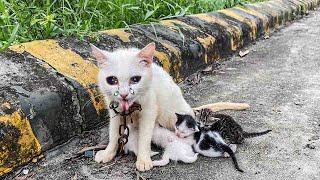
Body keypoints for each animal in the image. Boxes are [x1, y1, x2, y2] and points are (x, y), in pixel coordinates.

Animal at [91, 42, 249, 172]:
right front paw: (108, 153)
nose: (123, 94)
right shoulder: (114, 111)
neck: (131, 107)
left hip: (170, 115)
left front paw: (143, 159)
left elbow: (144, 137)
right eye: (112, 80)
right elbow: (113, 134)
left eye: (135, 79)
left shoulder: (150, 110)